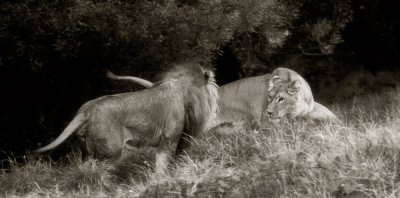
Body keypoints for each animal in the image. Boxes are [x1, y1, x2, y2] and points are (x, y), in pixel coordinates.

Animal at [34, 62, 219, 173]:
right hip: (112, 152)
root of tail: (86, 111)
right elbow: (162, 166)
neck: (183, 90)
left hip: (86, 152)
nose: (217, 109)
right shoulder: (168, 142)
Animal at [107, 67, 338, 127]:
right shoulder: (266, 123)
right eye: (270, 96)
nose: (269, 112)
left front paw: (337, 122)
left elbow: (326, 112)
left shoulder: (312, 107)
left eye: (280, 98)